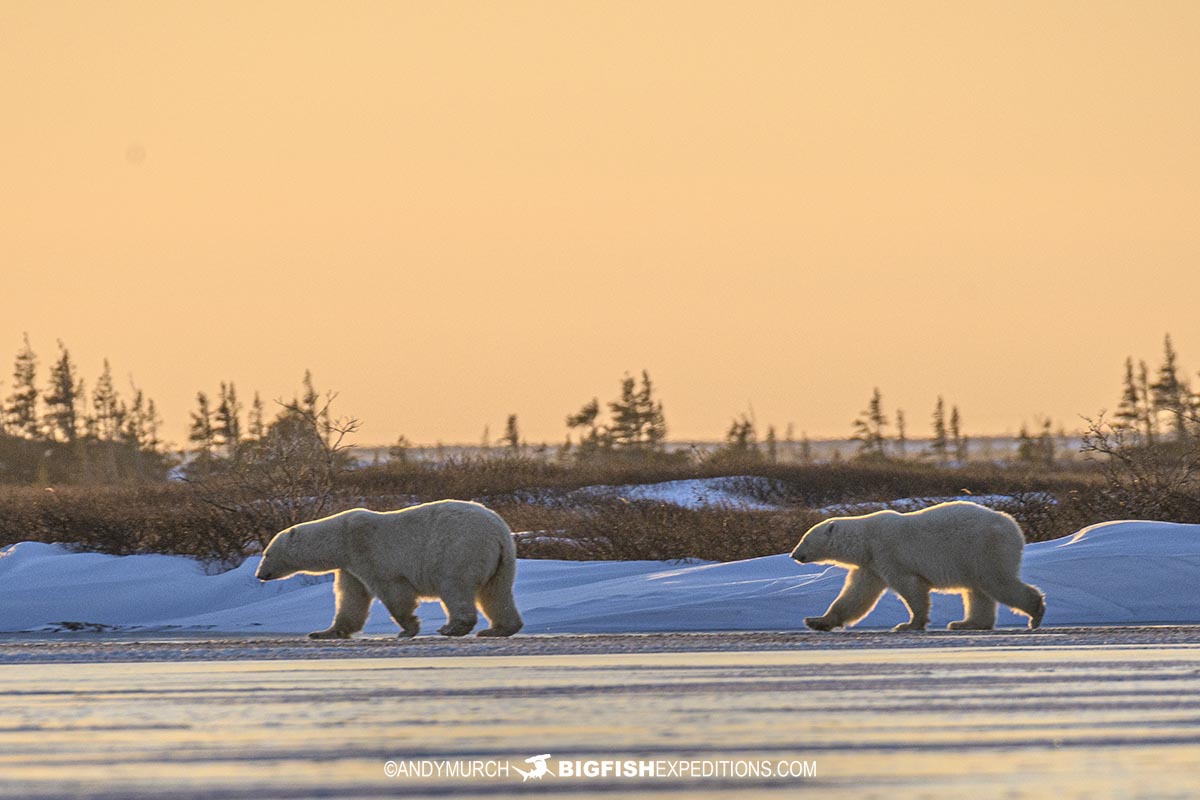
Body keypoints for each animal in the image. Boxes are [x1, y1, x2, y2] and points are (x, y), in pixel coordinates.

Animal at [255, 501, 523, 638]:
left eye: (267, 553)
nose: (260, 574)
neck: (341, 538)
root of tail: (497, 531)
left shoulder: (367, 551)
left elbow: (393, 593)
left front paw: (408, 629)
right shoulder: (349, 566)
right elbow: (351, 598)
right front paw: (325, 632)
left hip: (460, 549)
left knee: (455, 586)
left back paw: (453, 627)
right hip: (503, 560)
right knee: (497, 593)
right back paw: (499, 629)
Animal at [787, 503, 1041, 633]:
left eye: (804, 539)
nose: (794, 555)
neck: (865, 540)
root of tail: (1012, 526)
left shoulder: (889, 554)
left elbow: (911, 587)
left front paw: (909, 624)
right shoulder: (871, 565)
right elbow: (856, 595)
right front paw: (817, 621)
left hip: (983, 548)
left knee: (996, 582)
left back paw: (1036, 613)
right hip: (973, 557)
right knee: (977, 590)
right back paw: (967, 623)